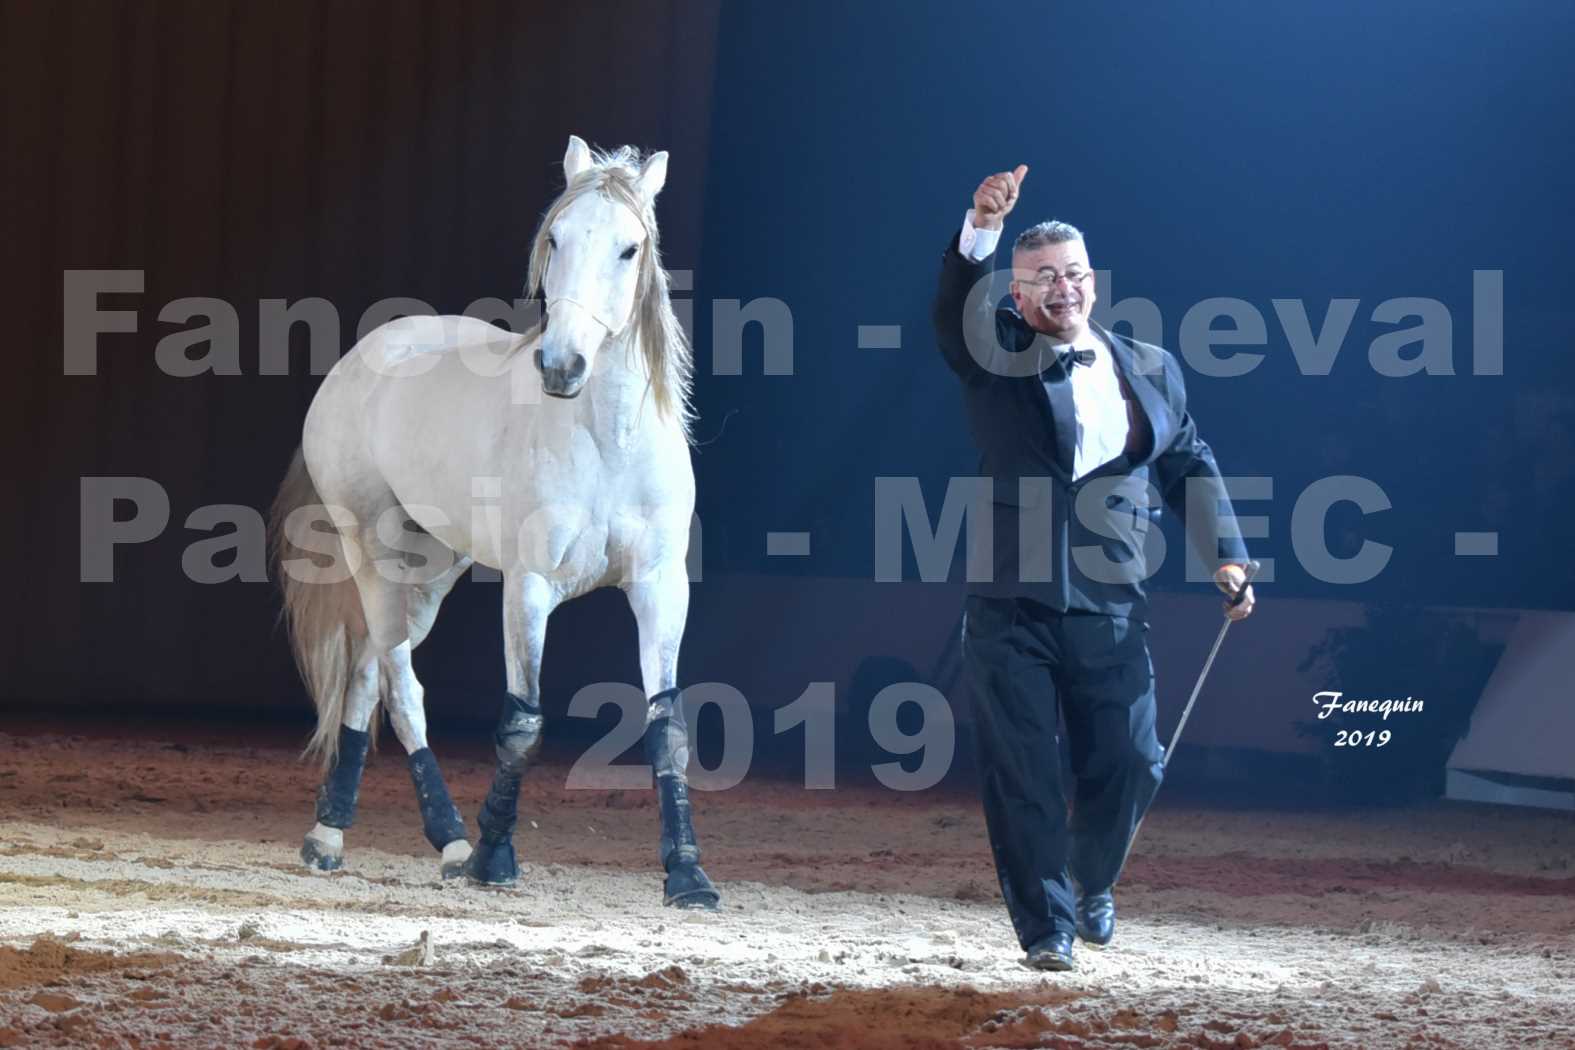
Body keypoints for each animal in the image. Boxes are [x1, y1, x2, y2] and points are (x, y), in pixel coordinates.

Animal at [269, 135, 721, 906]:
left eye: (630, 248)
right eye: (556, 239)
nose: (562, 364)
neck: (606, 442)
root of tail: (358, 360)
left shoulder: (660, 588)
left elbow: (667, 724)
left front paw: (688, 876)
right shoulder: (529, 587)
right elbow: (522, 720)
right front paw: (494, 857)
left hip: (427, 572)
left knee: (366, 670)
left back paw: (333, 832)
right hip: (372, 553)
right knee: (400, 684)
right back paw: (447, 840)